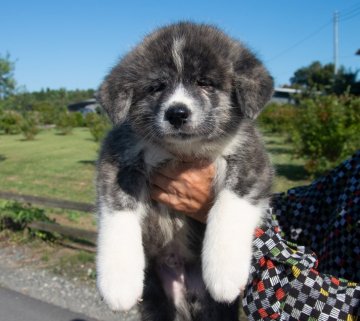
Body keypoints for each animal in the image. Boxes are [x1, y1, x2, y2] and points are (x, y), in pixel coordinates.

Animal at [95, 22, 272, 320]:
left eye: (204, 83)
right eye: (157, 87)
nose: (177, 113)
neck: (183, 151)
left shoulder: (251, 157)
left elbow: (229, 204)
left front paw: (224, 272)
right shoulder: (118, 159)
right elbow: (119, 213)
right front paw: (118, 283)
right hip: (158, 300)